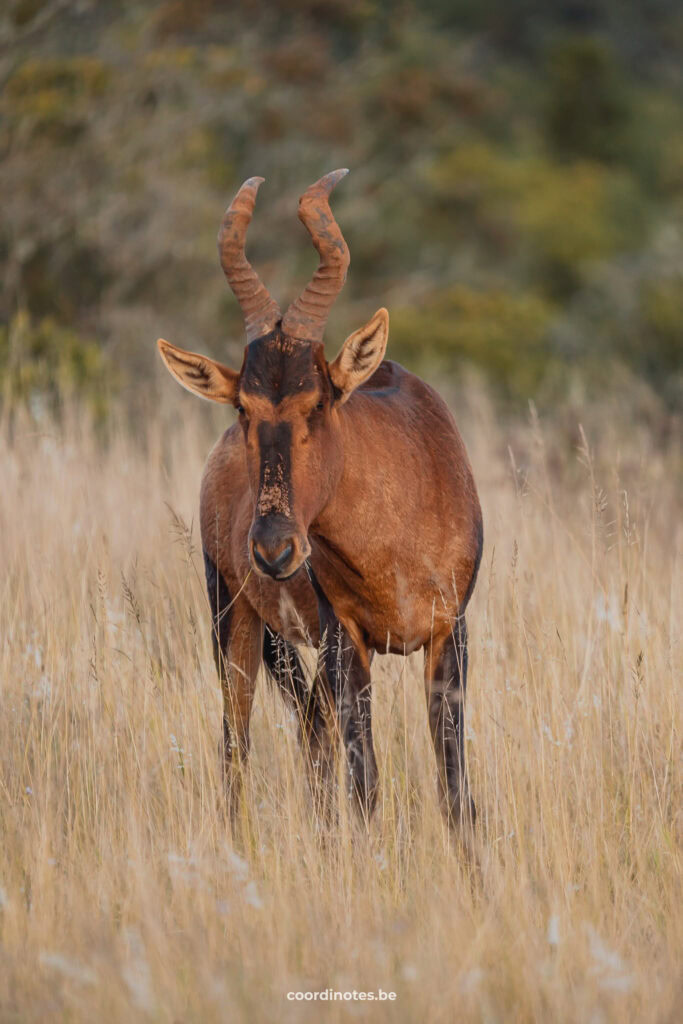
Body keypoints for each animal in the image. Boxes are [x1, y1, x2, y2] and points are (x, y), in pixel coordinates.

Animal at [157, 172, 483, 831]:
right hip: (233, 617)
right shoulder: (346, 640)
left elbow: (454, 792)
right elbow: (367, 784)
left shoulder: (451, 633)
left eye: (318, 400)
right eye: (244, 406)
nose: (274, 548)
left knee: (310, 734)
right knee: (237, 741)